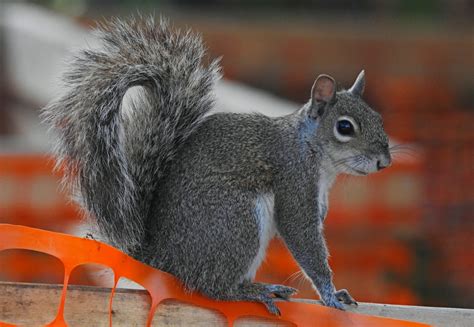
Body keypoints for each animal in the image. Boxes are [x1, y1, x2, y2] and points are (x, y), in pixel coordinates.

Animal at [40, 17, 390, 316]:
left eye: (378, 118)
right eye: (345, 127)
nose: (384, 161)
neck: (318, 159)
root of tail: (160, 258)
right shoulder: (293, 177)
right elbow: (302, 236)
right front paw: (330, 294)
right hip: (237, 220)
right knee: (214, 287)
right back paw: (254, 290)